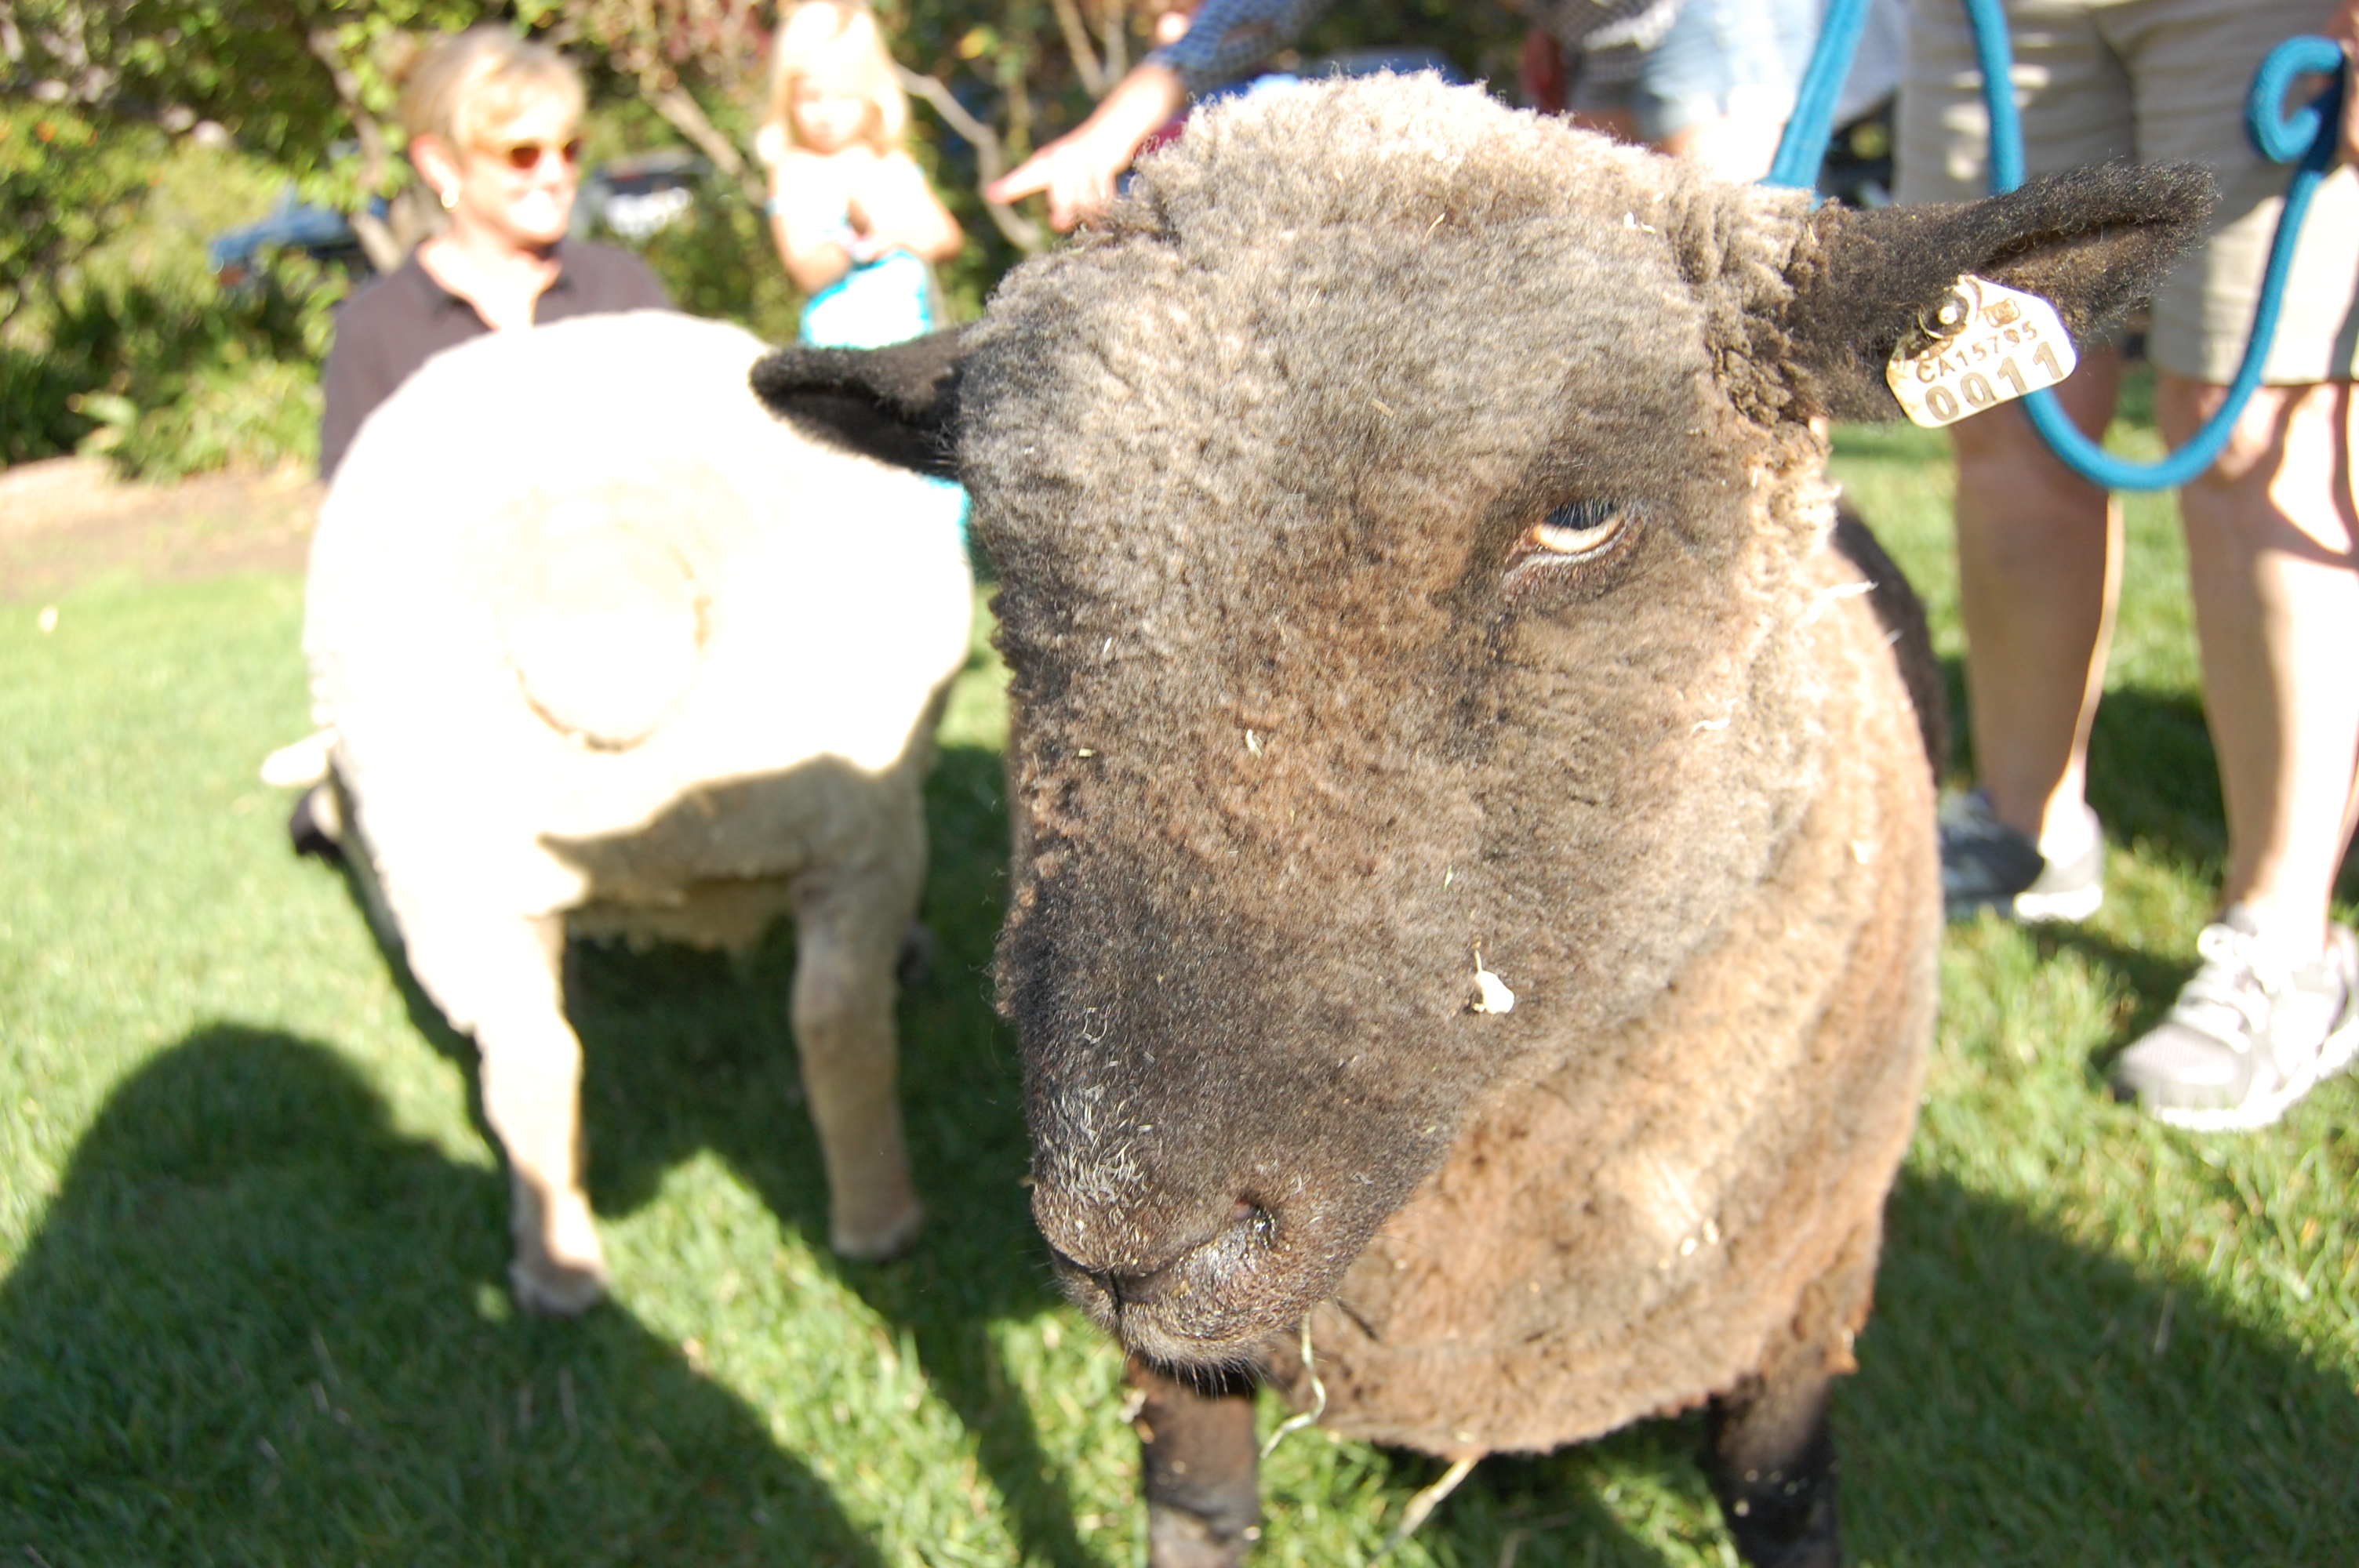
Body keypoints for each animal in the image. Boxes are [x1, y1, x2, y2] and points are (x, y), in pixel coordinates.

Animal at [752, 78, 2209, 1566]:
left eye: (1580, 519)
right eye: (999, 553)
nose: (1129, 1233)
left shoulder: (1800, 1316)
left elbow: (1788, 1507)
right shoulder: (1181, 1386)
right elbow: (1198, 1513)